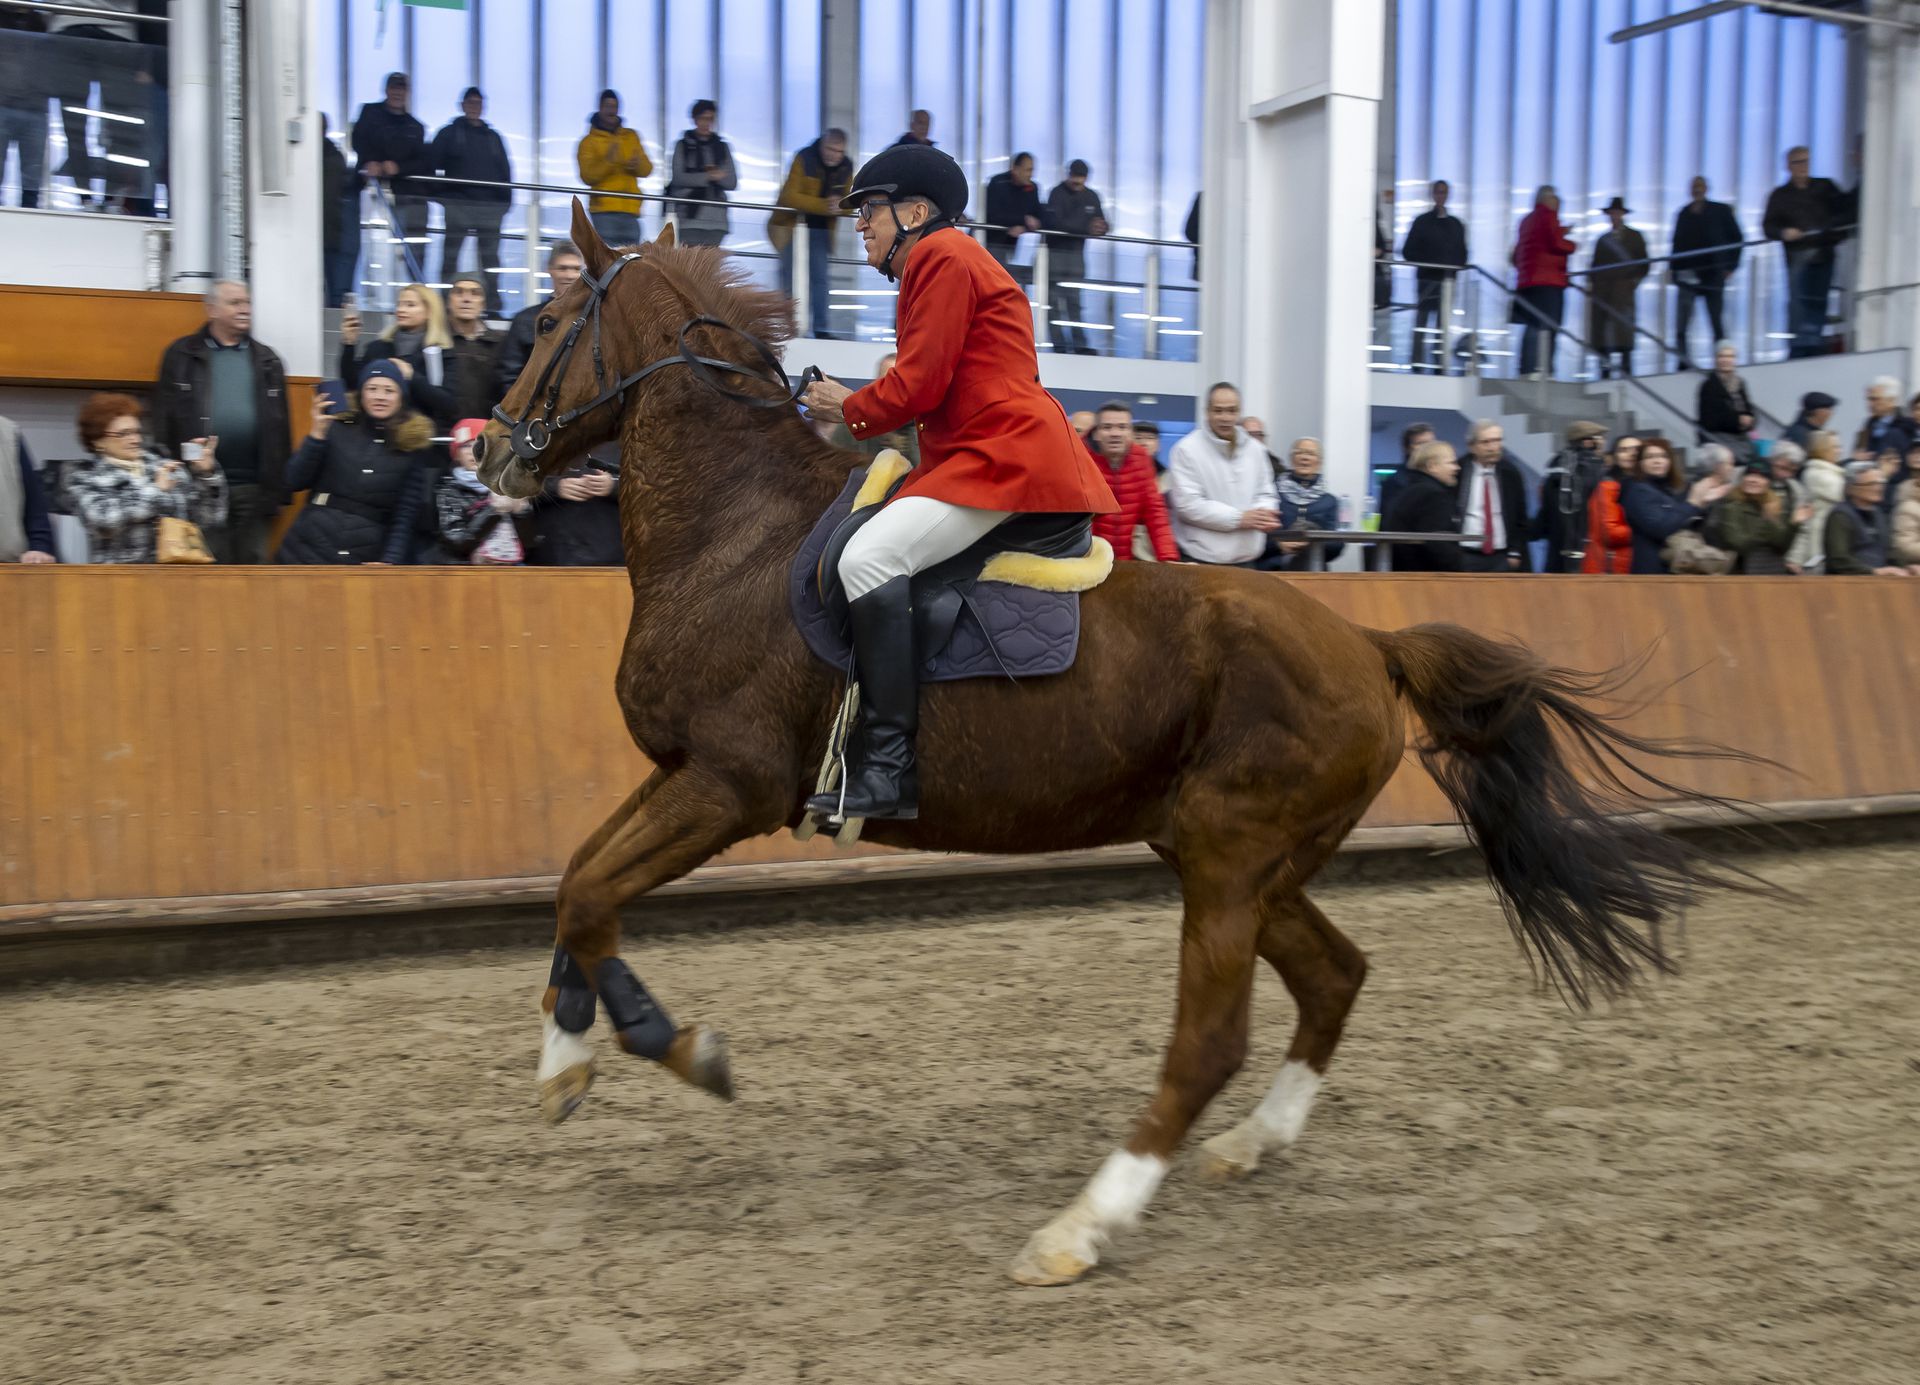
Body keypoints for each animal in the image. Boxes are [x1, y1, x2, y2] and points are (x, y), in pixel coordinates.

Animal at [472, 205, 1735, 1283]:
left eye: (545, 323)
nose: (492, 455)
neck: (734, 529)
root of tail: (1366, 640)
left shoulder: (729, 784)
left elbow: (593, 896)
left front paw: (673, 1045)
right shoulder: (678, 777)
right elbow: (578, 887)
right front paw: (568, 1063)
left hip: (1229, 853)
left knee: (1210, 1037)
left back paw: (1081, 1224)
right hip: (1242, 858)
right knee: (1335, 975)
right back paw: (1250, 1144)